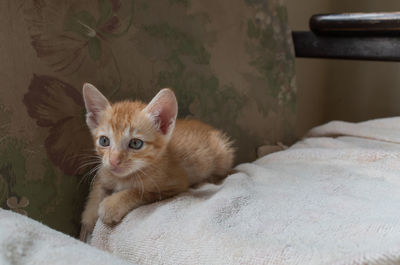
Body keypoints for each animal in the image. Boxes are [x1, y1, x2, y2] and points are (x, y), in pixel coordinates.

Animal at [79, 83, 234, 240]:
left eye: (135, 143)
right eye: (104, 141)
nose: (114, 161)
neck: (124, 177)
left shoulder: (174, 185)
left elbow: (139, 192)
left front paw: (112, 205)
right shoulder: (104, 169)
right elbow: (97, 188)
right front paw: (88, 218)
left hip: (223, 155)